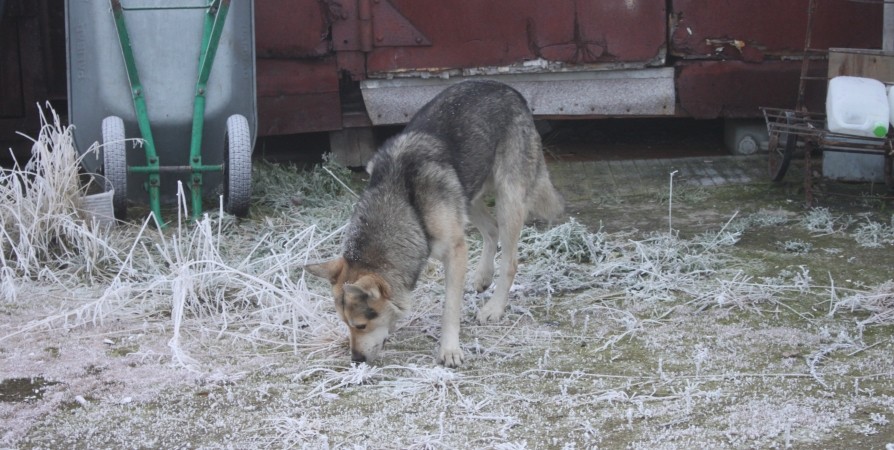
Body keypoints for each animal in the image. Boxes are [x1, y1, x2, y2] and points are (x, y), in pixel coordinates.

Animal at [306, 80, 563, 368]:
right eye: (344, 323)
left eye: (360, 325)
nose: (356, 360)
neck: (402, 200)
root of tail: (510, 89)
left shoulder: (455, 252)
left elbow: (450, 309)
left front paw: (449, 349)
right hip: (467, 195)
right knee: (491, 230)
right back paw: (483, 276)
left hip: (508, 200)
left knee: (510, 260)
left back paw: (494, 308)